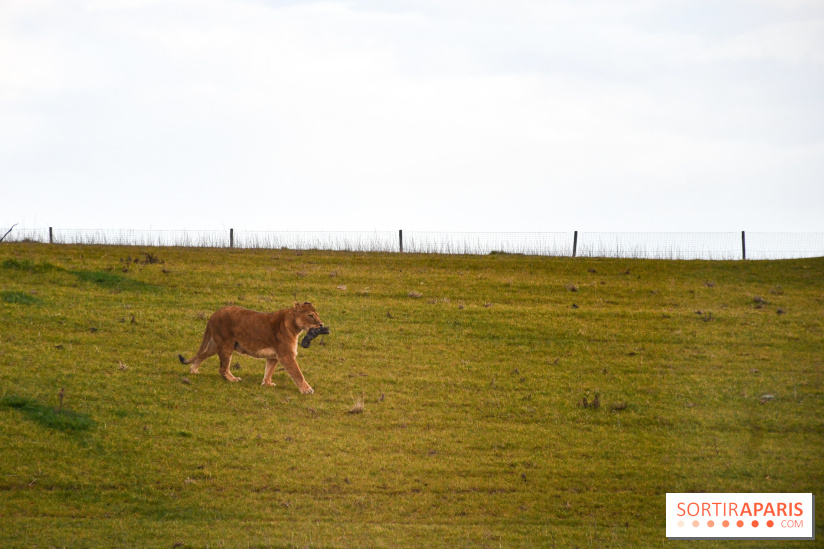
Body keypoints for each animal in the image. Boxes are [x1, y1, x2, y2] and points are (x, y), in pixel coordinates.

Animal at [178, 302, 325, 394]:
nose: (322, 324)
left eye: (317, 315)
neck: (294, 326)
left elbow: (269, 370)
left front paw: (267, 384)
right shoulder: (286, 355)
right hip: (226, 344)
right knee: (222, 368)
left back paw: (193, 370)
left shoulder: (274, 357)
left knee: (202, 355)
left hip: (215, 344)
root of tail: (213, 315)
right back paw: (233, 379)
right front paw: (306, 390)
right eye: (311, 316)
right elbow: (297, 373)